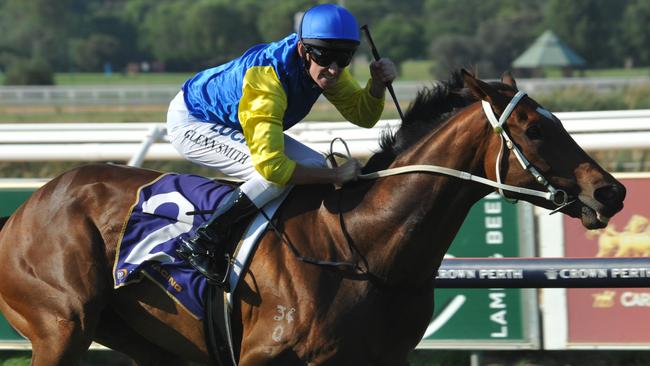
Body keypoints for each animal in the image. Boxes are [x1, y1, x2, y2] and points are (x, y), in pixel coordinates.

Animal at [0, 70, 624, 364]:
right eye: (536, 130)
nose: (611, 191)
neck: (364, 248)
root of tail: (25, 208)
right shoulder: (258, 358)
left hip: (150, 345)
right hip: (61, 326)